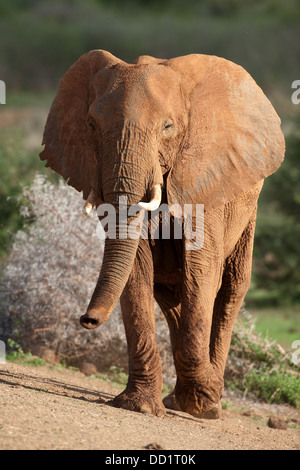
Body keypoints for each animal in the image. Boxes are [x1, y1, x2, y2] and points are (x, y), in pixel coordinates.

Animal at [39, 50, 284, 418]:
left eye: (168, 127)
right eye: (92, 126)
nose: (86, 320)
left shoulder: (204, 179)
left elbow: (201, 270)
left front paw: (205, 403)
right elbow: (136, 268)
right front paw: (139, 406)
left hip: (248, 208)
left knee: (230, 289)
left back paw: (205, 401)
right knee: (169, 294)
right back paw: (180, 399)